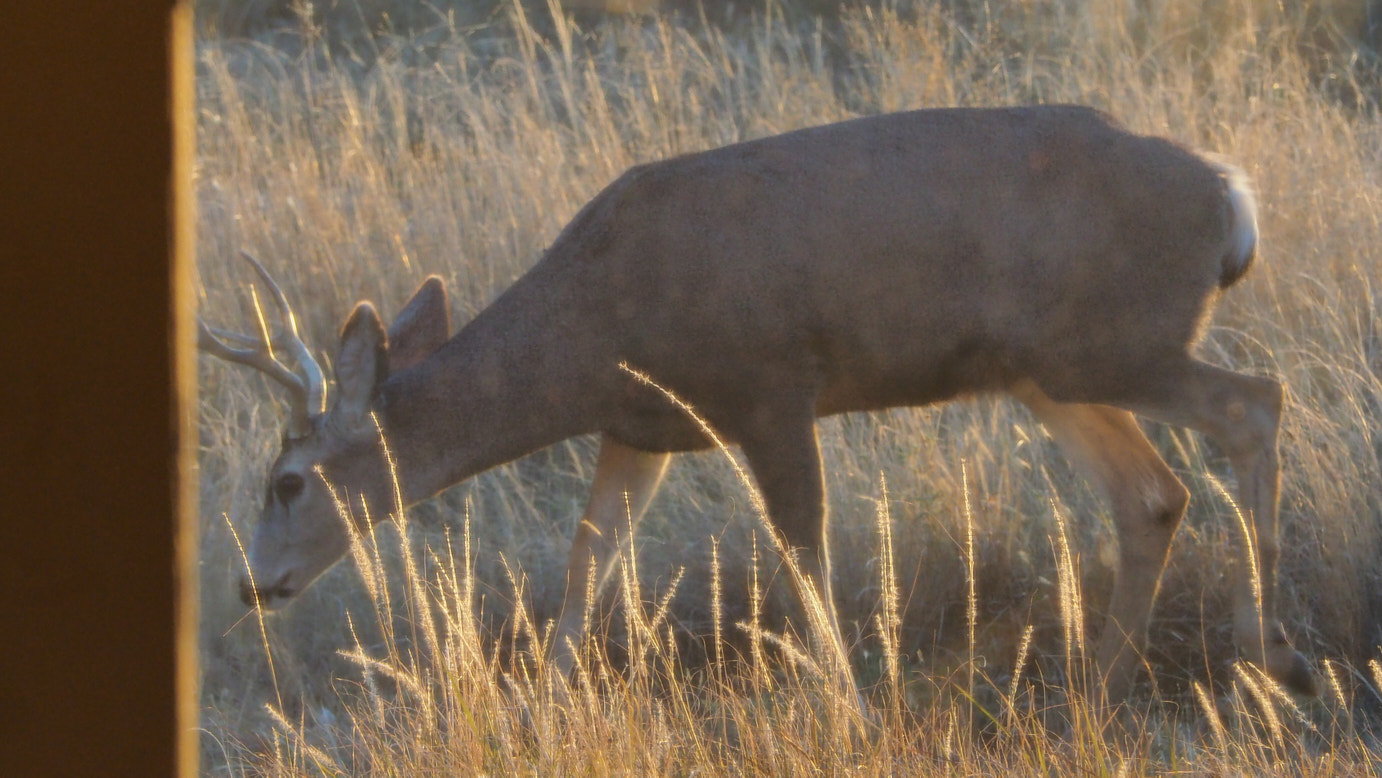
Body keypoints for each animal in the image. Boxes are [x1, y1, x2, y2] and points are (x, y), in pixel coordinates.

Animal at [200, 104, 1319, 704]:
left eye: (285, 479)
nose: (254, 586)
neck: (592, 330)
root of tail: (1230, 196)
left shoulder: (770, 385)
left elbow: (802, 555)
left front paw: (854, 709)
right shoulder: (639, 426)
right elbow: (588, 563)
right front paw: (546, 706)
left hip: (1112, 340)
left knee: (1253, 405)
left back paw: (1270, 660)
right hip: (1047, 369)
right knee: (1153, 494)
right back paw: (1097, 687)